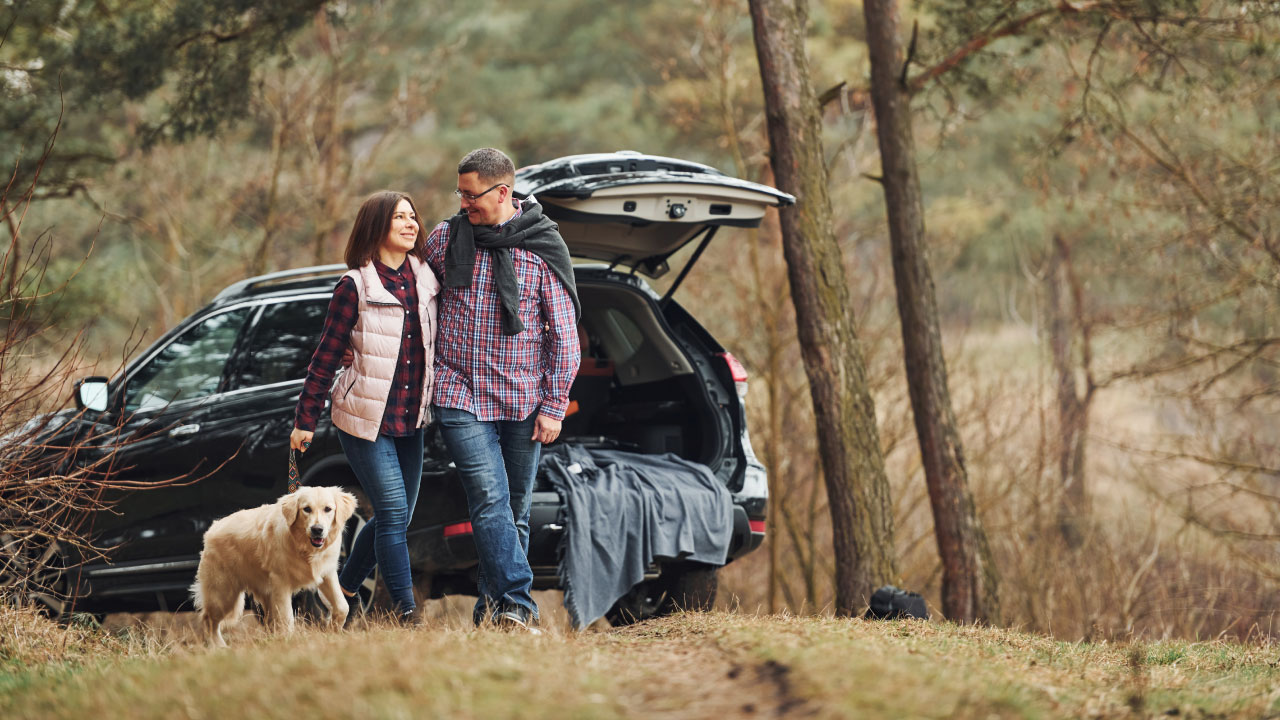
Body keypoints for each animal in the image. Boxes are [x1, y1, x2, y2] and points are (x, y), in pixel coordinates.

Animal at [186, 481, 355, 645]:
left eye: (328, 509)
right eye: (307, 509)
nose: (317, 529)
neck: (304, 548)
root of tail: (212, 528)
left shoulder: (327, 573)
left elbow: (342, 606)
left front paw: (333, 630)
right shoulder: (281, 583)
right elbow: (287, 618)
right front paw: (289, 642)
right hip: (223, 594)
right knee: (208, 620)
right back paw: (220, 648)